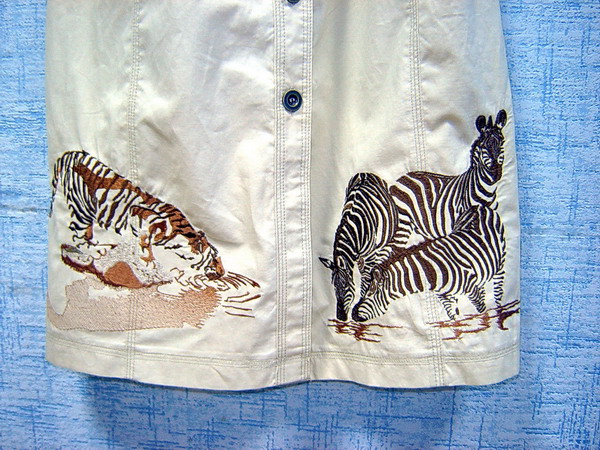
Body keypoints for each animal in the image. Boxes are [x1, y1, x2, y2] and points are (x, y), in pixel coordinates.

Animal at [49, 149, 225, 281]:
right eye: (214, 259)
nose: (222, 272)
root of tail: (72, 153)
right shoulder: (141, 217)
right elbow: (146, 244)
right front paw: (149, 262)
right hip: (82, 209)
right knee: (76, 234)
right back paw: (96, 250)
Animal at [320, 172, 403, 321]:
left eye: (345, 286)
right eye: (334, 287)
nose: (340, 317)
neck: (355, 228)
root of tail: (365, 173)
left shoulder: (369, 255)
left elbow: (365, 279)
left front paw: (360, 305)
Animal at [352, 205, 506, 322]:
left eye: (371, 293)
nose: (353, 315)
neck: (432, 272)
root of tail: (478, 207)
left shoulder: (471, 289)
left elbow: (482, 310)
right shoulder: (445, 296)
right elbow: (454, 318)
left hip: (501, 262)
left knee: (498, 291)